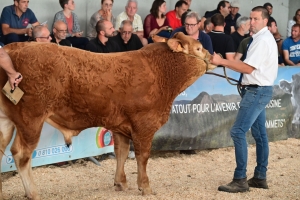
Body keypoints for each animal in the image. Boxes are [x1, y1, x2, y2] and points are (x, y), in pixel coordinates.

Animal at [0, 32, 216, 199]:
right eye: (198, 47)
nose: (213, 56)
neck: (161, 72)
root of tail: (13, 48)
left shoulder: (120, 125)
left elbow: (121, 152)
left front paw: (121, 183)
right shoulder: (144, 124)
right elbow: (142, 156)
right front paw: (145, 187)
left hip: (7, 122)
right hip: (31, 119)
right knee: (21, 154)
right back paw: (33, 193)